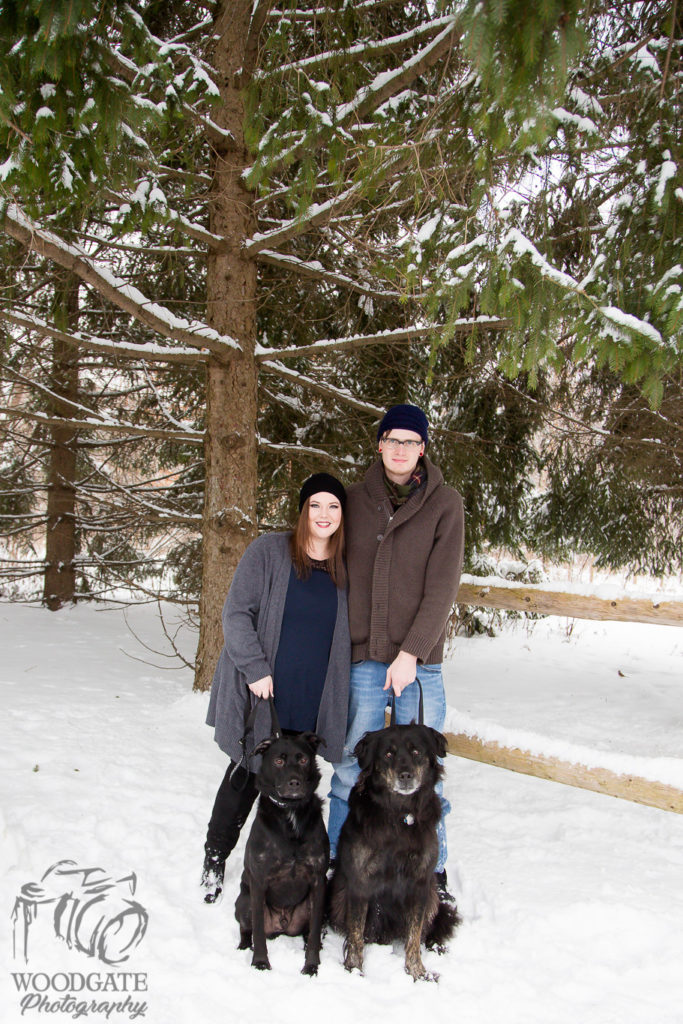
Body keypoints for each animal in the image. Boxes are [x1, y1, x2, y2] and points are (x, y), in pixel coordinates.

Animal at [236, 733, 329, 970]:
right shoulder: (259, 882)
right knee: (247, 929)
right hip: (244, 903)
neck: (291, 813)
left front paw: (311, 965)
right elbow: (259, 932)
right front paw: (260, 962)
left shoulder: (318, 880)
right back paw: (243, 946)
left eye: (303, 759)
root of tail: (283, 925)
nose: (294, 782)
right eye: (278, 761)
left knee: (309, 932)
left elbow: (314, 932)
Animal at [327, 724, 456, 978]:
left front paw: (417, 972)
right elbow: (356, 933)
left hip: (433, 896)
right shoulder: (359, 881)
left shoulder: (420, 882)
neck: (400, 814)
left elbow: (414, 934)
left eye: (416, 752)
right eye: (388, 754)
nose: (405, 775)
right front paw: (354, 970)